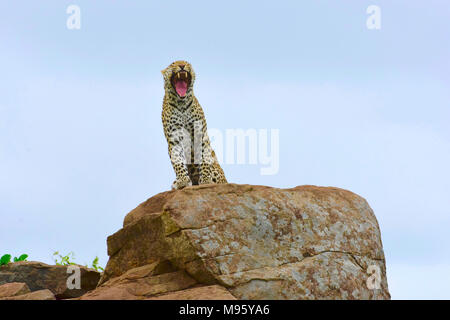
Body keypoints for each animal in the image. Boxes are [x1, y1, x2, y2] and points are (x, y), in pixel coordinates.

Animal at [160, 60, 227, 190]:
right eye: (173, 63)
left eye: (187, 63)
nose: (182, 65)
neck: (181, 103)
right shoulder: (174, 137)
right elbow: (178, 160)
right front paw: (182, 181)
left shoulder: (201, 133)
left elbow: (204, 158)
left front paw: (206, 180)